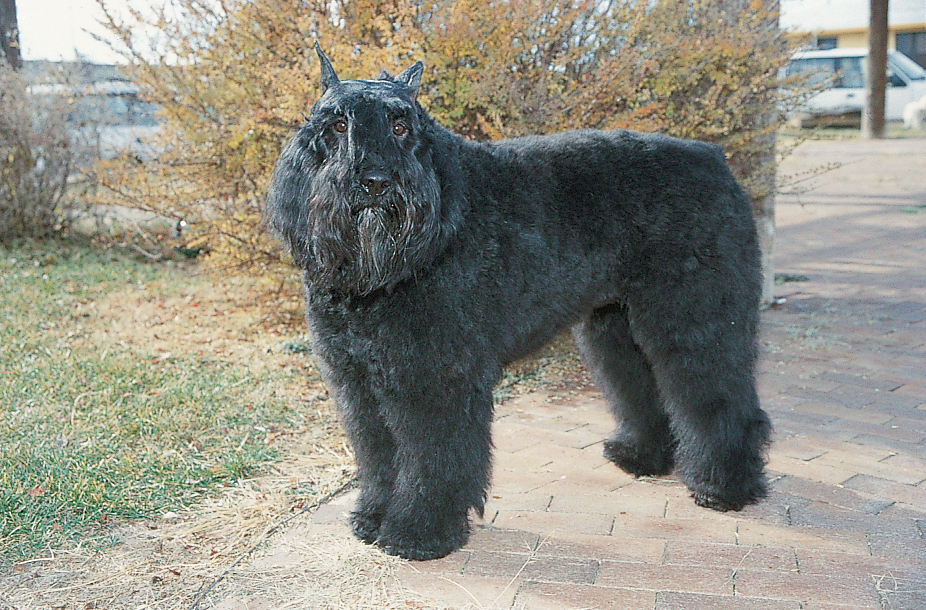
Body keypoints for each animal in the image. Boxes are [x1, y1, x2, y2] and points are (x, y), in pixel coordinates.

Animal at [266, 46, 776, 560]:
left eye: (400, 126)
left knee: (719, 399)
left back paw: (724, 486)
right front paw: (372, 516)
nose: (375, 181)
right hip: (617, 324)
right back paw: (643, 455)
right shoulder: (358, 380)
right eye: (337, 125)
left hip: (696, 317)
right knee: (641, 384)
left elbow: (431, 458)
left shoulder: (432, 378)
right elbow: (377, 455)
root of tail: (713, 158)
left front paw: (418, 531)